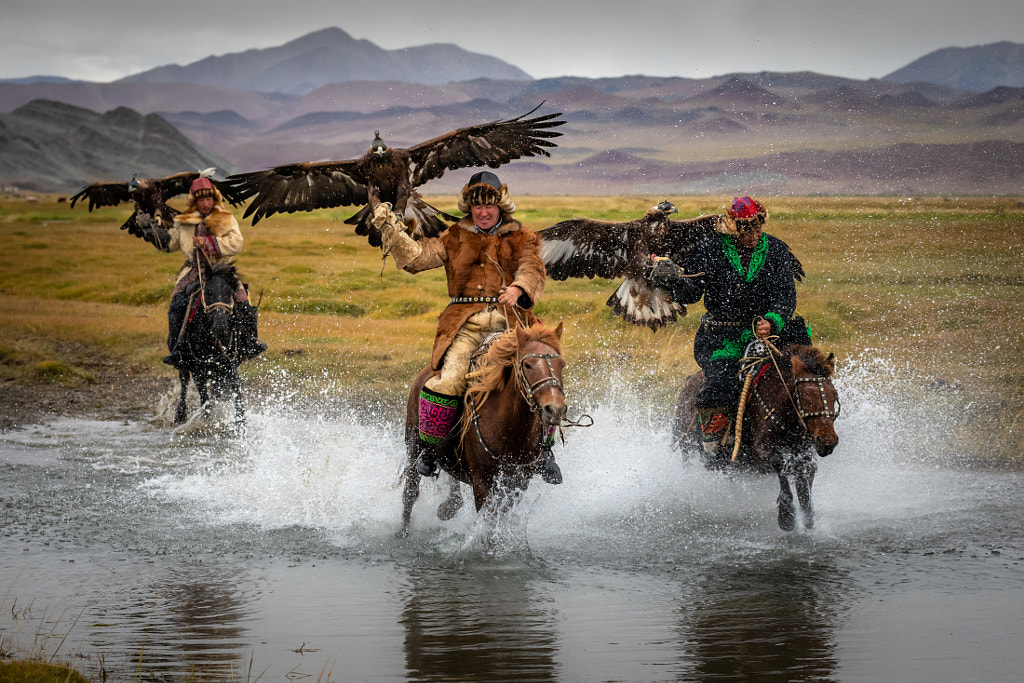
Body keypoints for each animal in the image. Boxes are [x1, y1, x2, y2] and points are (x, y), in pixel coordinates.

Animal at [397, 321, 569, 540]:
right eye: (528, 365)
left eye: (561, 365)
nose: (555, 409)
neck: (510, 431)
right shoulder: (482, 484)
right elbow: (488, 526)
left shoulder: (518, 485)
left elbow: (500, 522)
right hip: (413, 443)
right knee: (410, 491)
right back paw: (403, 533)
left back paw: (449, 506)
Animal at [671, 344, 839, 532]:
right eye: (805, 397)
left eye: (834, 396)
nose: (827, 441)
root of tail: (689, 382)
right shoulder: (760, 454)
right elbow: (779, 464)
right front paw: (786, 516)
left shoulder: (804, 457)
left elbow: (806, 481)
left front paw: (808, 518)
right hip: (687, 448)